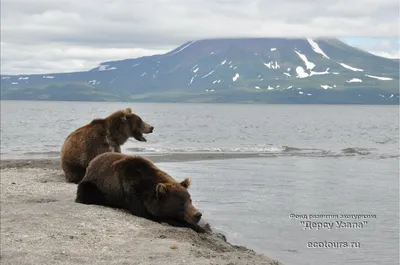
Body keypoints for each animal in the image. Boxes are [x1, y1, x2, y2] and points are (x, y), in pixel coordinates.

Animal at [75, 152, 208, 232]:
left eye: (190, 200)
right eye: (181, 203)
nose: (197, 214)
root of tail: (92, 162)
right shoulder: (131, 191)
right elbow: (154, 215)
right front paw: (199, 227)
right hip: (92, 185)